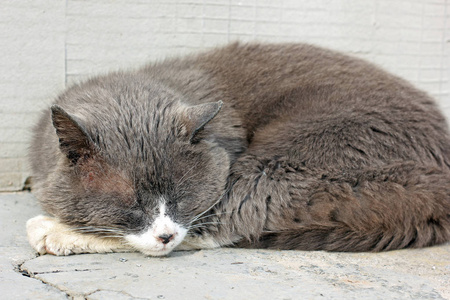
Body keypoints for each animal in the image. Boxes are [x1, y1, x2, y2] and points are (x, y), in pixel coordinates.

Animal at [26, 43, 448, 256]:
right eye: (132, 204)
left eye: (182, 197)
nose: (164, 235)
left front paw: (60, 229)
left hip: (286, 163)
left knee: (235, 217)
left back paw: (51, 232)